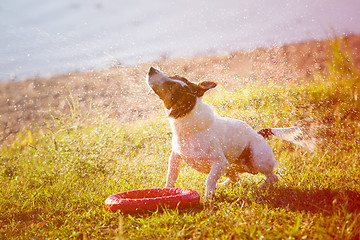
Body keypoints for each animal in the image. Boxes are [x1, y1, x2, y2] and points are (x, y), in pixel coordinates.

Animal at [146, 66, 304, 198]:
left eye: (170, 86)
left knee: (273, 177)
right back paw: (224, 184)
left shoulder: (220, 162)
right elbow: (171, 176)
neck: (188, 122)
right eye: (174, 75)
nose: (151, 69)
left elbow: (209, 178)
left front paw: (208, 197)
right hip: (235, 165)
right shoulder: (175, 158)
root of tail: (258, 134)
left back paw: (261, 188)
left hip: (258, 160)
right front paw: (166, 191)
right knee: (236, 177)